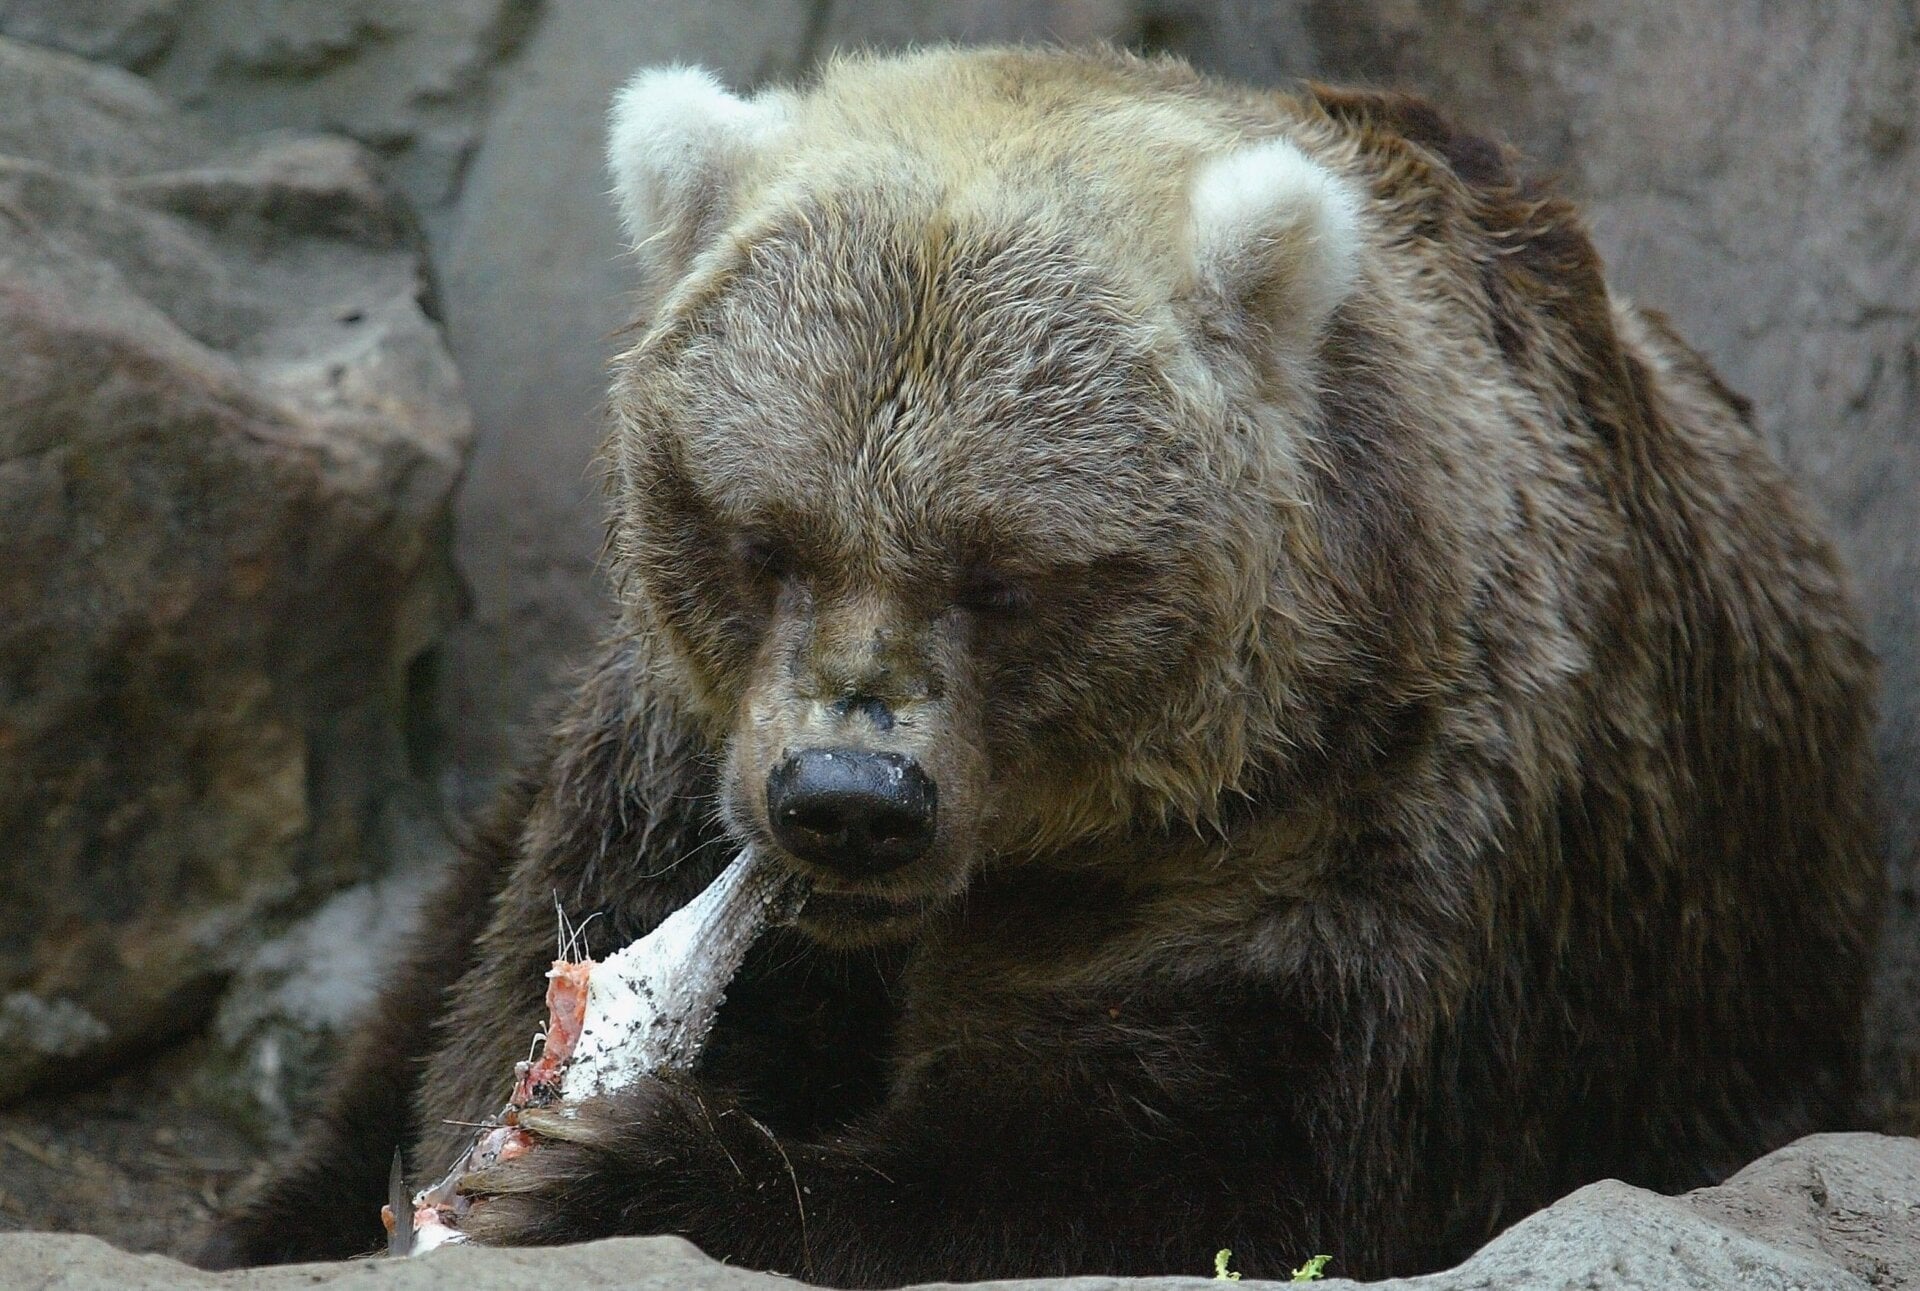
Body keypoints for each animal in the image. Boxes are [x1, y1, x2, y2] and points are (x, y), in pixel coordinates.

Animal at [202, 47, 1882, 1284]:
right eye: (766, 535)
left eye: (1005, 573)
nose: (850, 798)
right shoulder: (673, 758)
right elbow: (500, 989)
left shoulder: (1346, 831)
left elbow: (1198, 1153)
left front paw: (611, 1165)